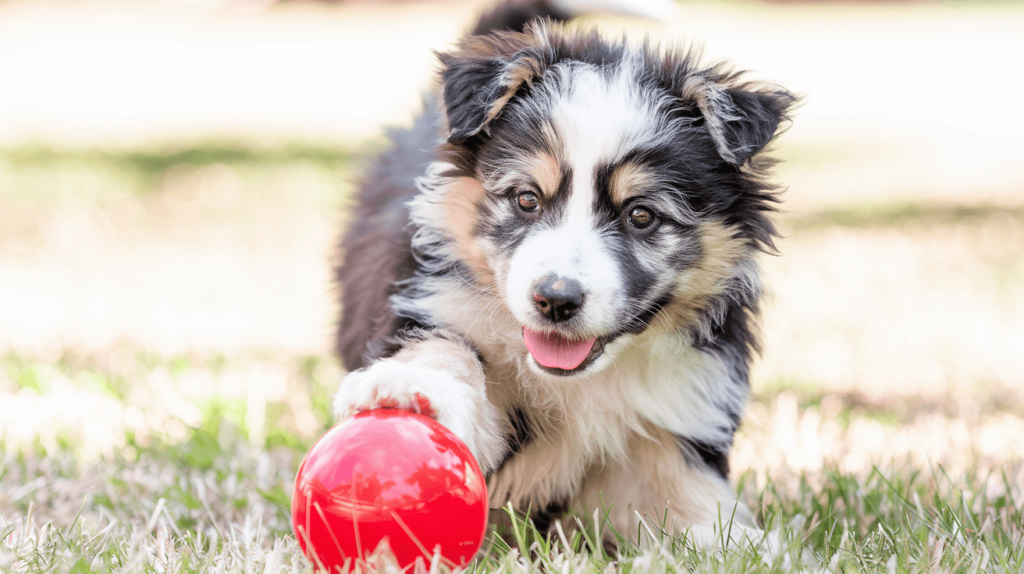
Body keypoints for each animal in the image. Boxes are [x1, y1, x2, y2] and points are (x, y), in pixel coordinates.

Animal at [331, 0, 794, 544]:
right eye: (527, 199)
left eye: (641, 215)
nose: (554, 299)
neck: (580, 380)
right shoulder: (433, 300)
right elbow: (446, 351)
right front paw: (413, 388)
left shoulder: (681, 400)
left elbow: (682, 496)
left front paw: (740, 543)